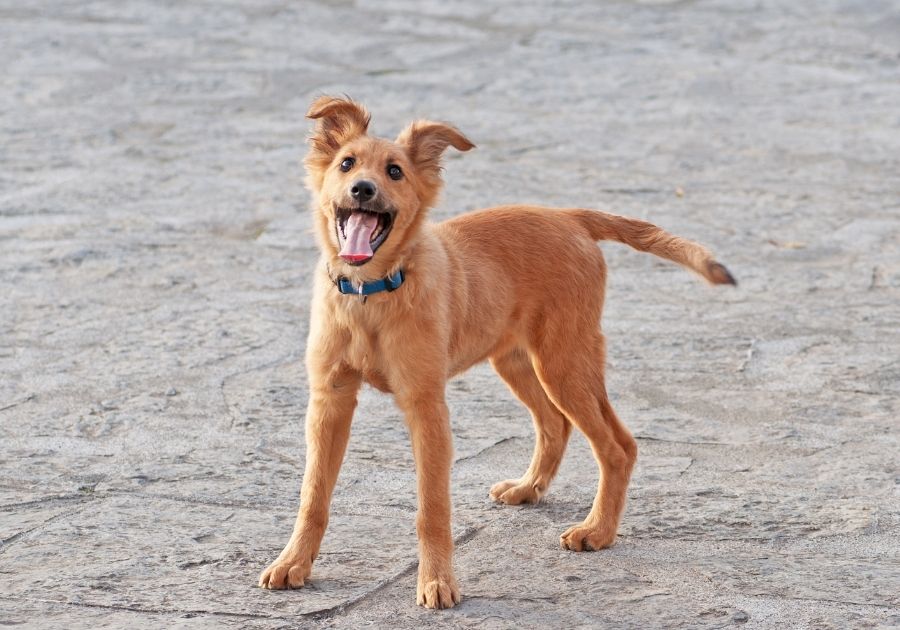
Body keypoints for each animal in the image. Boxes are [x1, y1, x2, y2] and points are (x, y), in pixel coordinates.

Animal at [256, 96, 736, 608]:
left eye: (395, 172)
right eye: (346, 164)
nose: (362, 189)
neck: (371, 294)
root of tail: (569, 216)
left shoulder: (426, 405)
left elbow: (432, 507)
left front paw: (436, 581)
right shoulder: (329, 400)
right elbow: (313, 496)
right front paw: (292, 563)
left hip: (565, 361)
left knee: (618, 445)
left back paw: (597, 531)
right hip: (518, 360)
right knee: (554, 424)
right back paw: (529, 489)